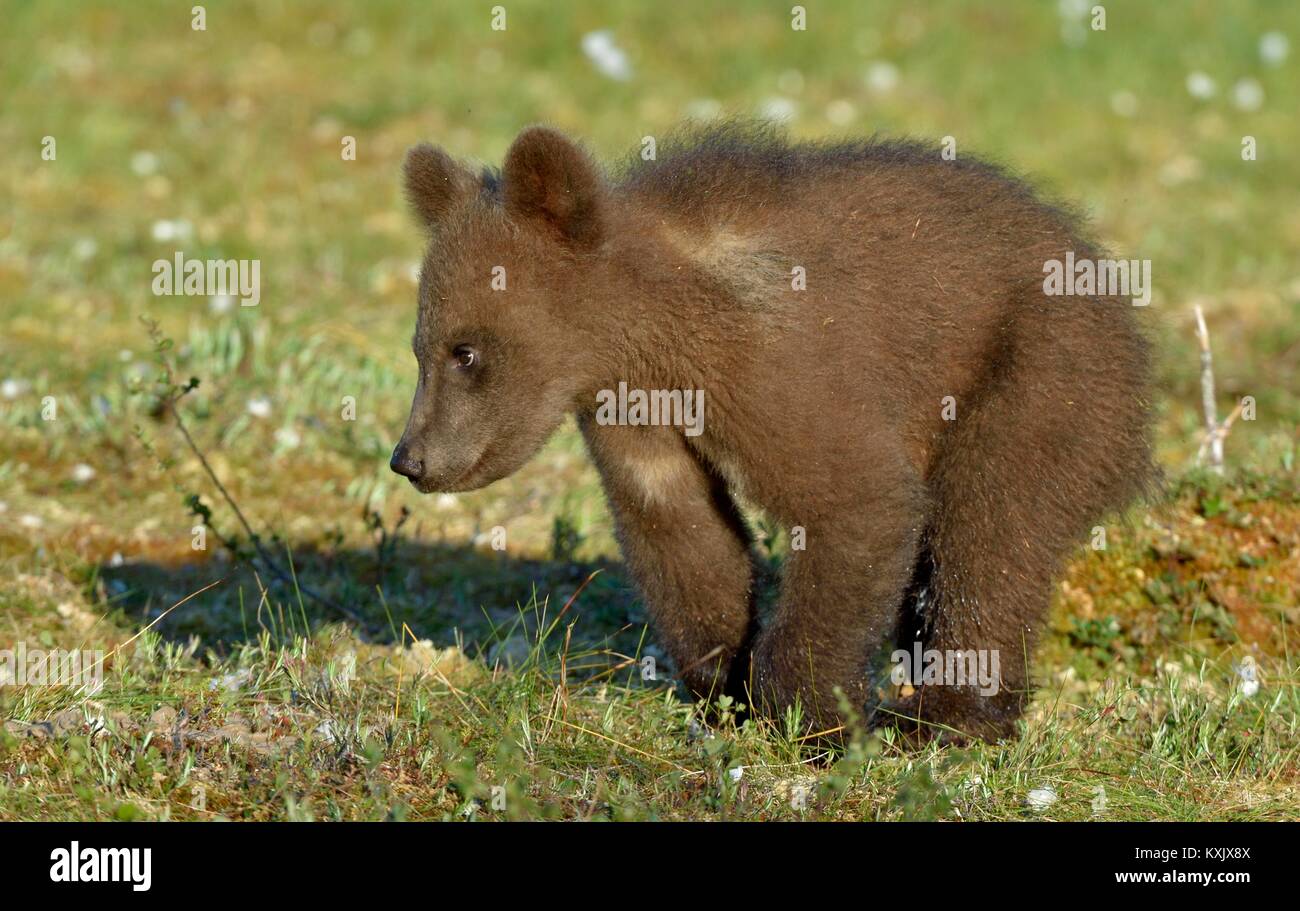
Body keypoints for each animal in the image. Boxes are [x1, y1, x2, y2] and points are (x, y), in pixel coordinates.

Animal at [390, 121, 1153, 743]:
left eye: (465, 351)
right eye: (420, 347)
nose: (410, 459)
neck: (657, 331)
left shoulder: (775, 366)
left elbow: (858, 500)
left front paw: (808, 715)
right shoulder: (632, 408)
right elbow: (681, 529)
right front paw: (722, 687)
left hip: (1043, 372)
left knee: (992, 528)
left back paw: (947, 716)